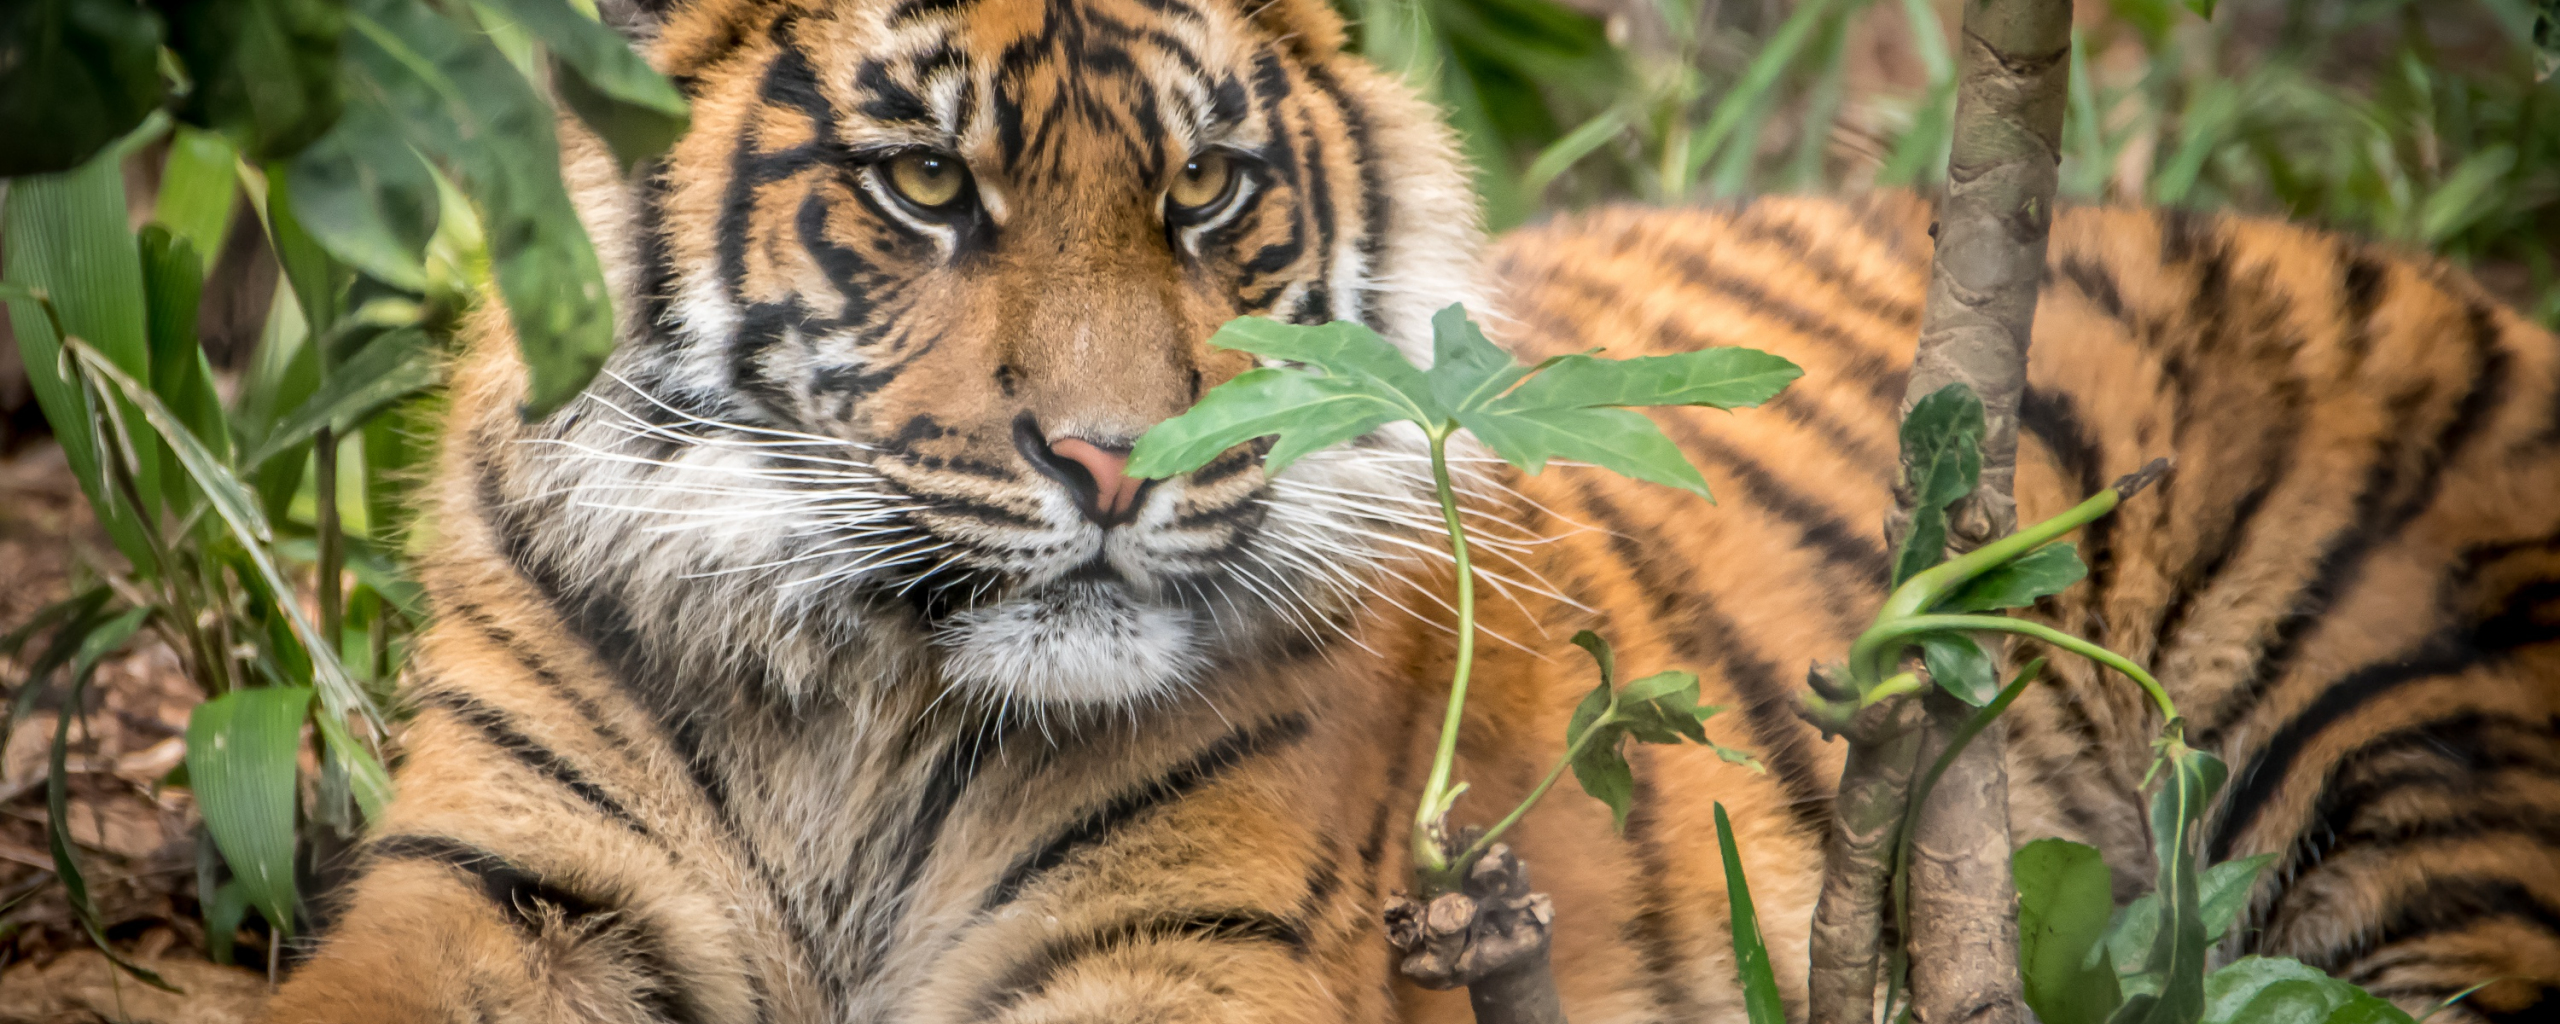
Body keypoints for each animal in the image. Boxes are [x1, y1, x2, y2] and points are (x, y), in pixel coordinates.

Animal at [254, 0, 2560, 1013]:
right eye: (923, 184)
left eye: (1205, 193)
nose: (1117, 465)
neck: (863, 691)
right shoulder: (502, 881)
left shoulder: (1181, 941)